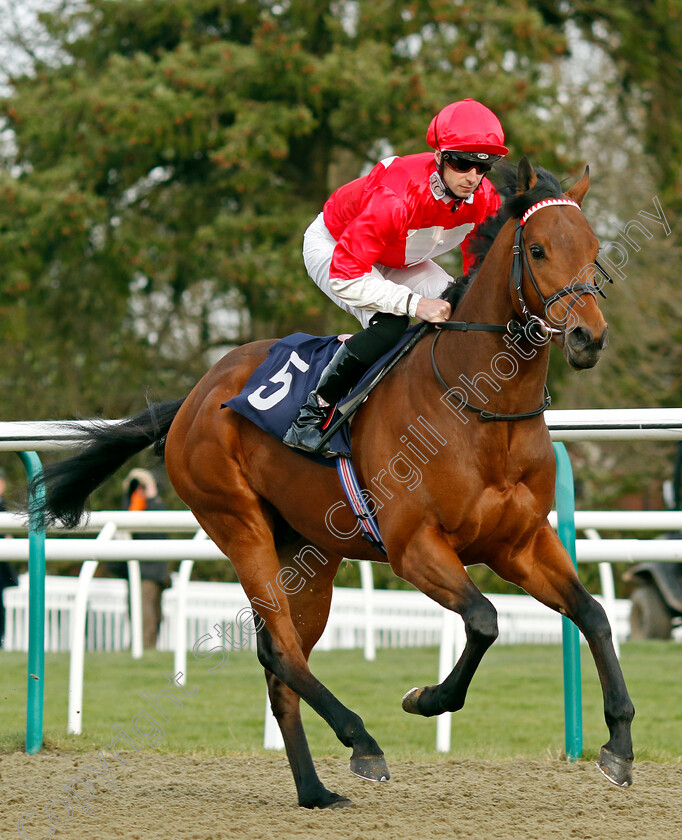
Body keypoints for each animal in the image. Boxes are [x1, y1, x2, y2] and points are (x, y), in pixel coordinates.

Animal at [34, 158, 632, 808]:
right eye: (540, 249)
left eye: (594, 249)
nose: (589, 337)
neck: (479, 407)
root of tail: (194, 395)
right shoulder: (413, 546)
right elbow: (484, 619)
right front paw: (425, 699)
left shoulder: (520, 543)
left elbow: (593, 614)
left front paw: (619, 745)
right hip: (239, 525)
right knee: (281, 649)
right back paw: (361, 740)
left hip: (311, 550)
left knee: (283, 663)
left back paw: (314, 789)